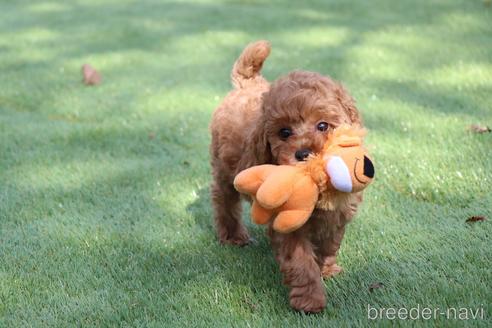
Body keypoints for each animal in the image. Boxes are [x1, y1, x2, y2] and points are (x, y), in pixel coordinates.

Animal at [209, 40, 364, 312]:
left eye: (323, 125)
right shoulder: (288, 223)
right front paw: (310, 300)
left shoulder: (337, 215)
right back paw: (233, 236)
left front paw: (326, 269)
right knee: (224, 200)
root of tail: (249, 83)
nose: (302, 153)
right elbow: (301, 262)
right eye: (284, 132)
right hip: (224, 170)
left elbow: (329, 242)